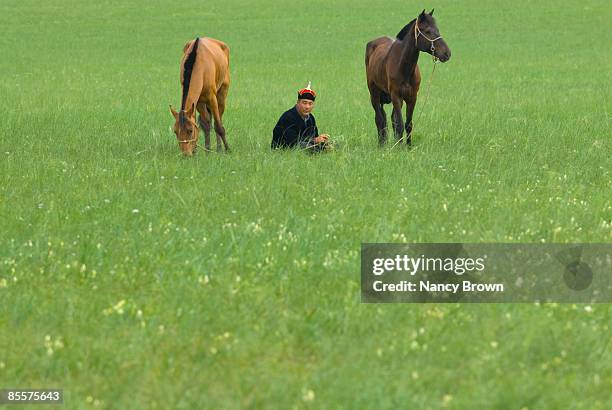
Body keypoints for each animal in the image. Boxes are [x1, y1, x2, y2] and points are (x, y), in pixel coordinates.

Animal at [366, 8, 452, 147]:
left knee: (391, 119)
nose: (447, 53)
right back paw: (381, 144)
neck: (403, 67)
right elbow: (400, 123)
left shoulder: (412, 98)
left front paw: (408, 146)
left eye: (437, 29)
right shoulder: (396, 96)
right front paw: (400, 147)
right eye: (427, 31)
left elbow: (408, 124)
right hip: (374, 94)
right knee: (379, 119)